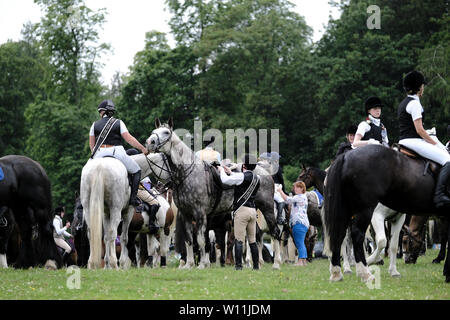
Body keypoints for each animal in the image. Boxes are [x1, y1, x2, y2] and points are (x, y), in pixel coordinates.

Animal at [148, 119, 282, 268]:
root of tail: (264, 173)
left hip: (267, 208)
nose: (150, 142)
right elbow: (189, 240)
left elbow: (201, 241)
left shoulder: (200, 214)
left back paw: (276, 263)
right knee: (255, 236)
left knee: (275, 232)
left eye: (166, 132)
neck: (188, 174)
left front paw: (201, 265)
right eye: (154, 131)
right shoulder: (186, 214)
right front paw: (189, 265)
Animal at [324, 145, 450, 282]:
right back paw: (362, 271)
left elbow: (393, 244)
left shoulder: (398, 218)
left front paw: (393, 271)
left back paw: (337, 272)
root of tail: (346, 156)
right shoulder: (376, 216)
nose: (408, 260)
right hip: (364, 211)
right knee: (353, 237)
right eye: (406, 242)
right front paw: (372, 260)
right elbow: (382, 241)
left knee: (340, 236)